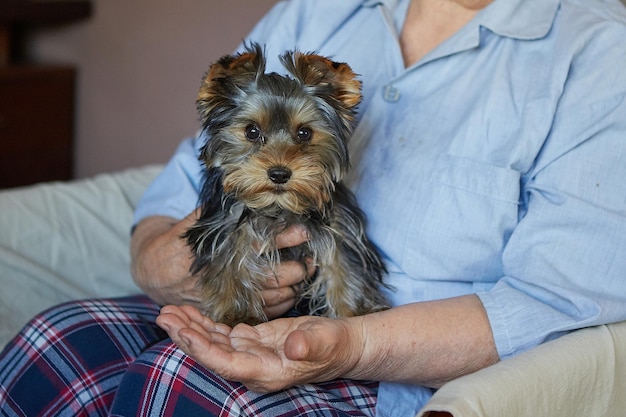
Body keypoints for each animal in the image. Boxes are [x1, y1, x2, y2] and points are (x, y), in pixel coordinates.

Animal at [182, 44, 386, 326]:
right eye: (252, 131)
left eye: (304, 133)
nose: (279, 173)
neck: (279, 207)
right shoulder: (224, 223)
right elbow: (228, 260)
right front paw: (237, 315)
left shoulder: (339, 224)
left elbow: (344, 262)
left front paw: (355, 312)